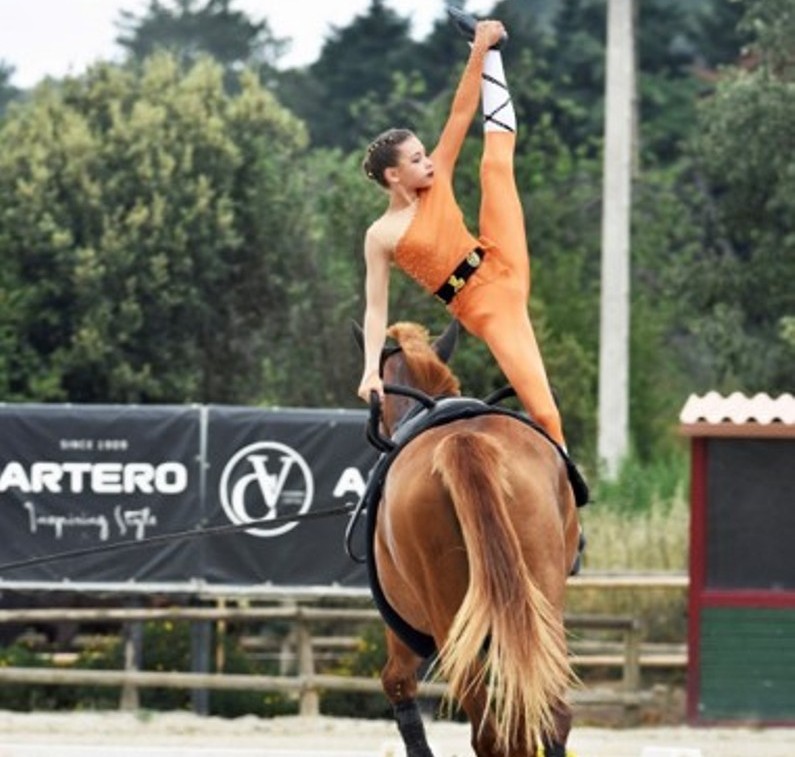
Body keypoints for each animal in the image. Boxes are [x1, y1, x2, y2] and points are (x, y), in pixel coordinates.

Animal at [364, 320, 580, 756]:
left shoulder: (403, 628)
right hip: (538, 607)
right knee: (545, 719)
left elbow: (397, 682)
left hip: (450, 623)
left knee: (491, 735)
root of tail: (463, 441)